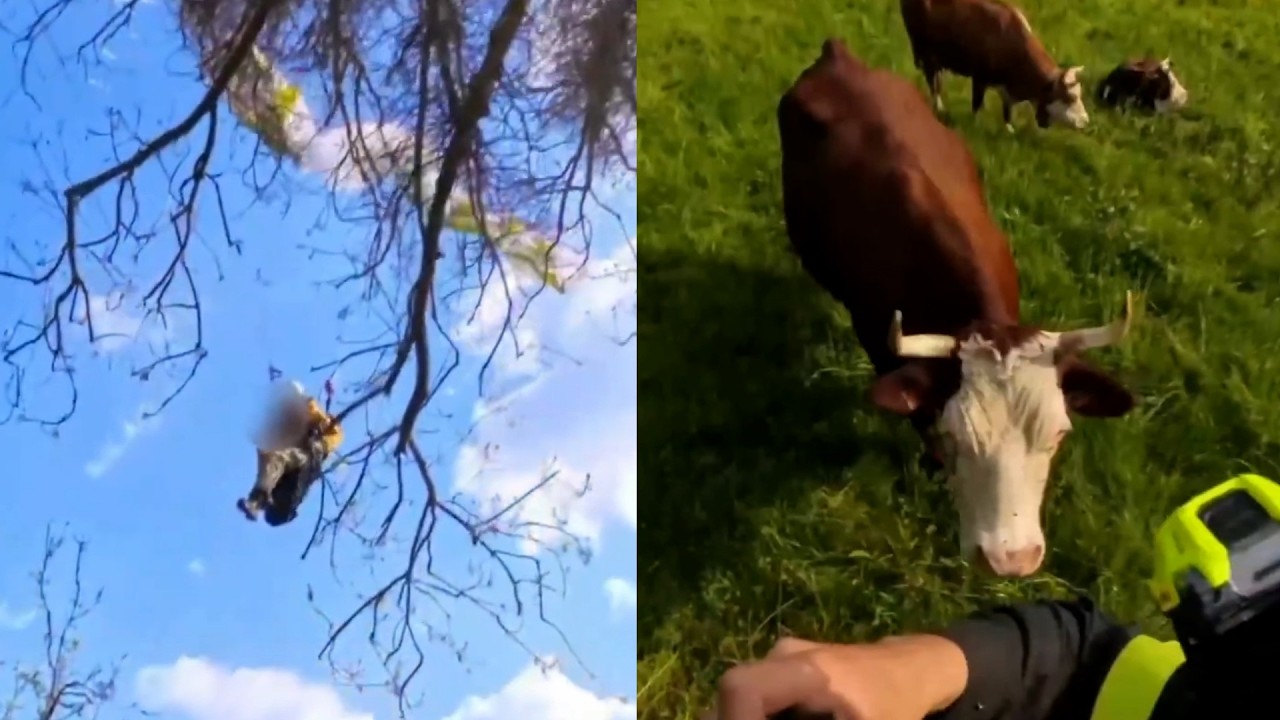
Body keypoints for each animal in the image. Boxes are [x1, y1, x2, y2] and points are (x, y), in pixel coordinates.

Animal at [899, 0, 1089, 130]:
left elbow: (1007, 111)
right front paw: (975, 125)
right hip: (923, 48)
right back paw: (938, 107)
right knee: (933, 81)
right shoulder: (980, 78)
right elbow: (977, 104)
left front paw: (1008, 129)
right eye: (1071, 97)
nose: (1085, 120)